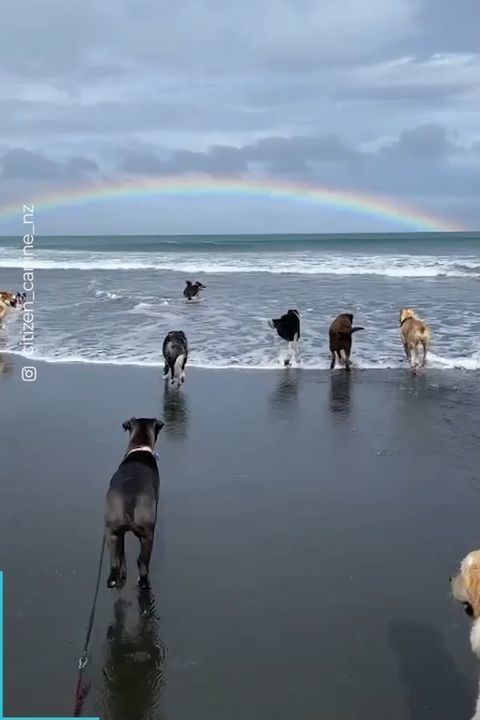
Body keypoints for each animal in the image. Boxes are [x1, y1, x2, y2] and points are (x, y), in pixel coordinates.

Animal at [104, 416, 164, 592]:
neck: (139, 448)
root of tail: (129, 499)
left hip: (112, 532)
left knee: (116, 561)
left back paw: (116, 580)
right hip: (147, 535)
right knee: (142, 562)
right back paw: (143, 583)